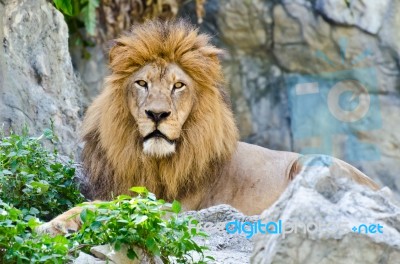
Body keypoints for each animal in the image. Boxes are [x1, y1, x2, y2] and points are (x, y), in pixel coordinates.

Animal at [39, 20, 380, 235]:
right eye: (142, 83)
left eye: (178, 85)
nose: (157, 114)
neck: (151, 160)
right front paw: (53, 222)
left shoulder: (175, 208)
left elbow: (105, 206)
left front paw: (54, 224)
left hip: (311, 163)